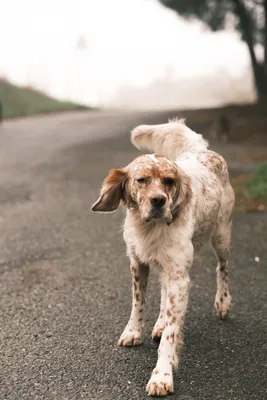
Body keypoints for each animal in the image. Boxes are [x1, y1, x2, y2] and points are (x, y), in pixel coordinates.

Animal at [93, 119, 236, 396]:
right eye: (141, 180)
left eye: (169, 181)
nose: (158, 201)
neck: (152, 228)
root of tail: (201, 149)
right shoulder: (138, 262)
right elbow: (138, 303)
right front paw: (133, 331)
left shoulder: (179, 275)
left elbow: (172, 331)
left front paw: (162, 375)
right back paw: (158, 324)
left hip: (221, 235)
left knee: (222, 268)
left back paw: (223, 303)